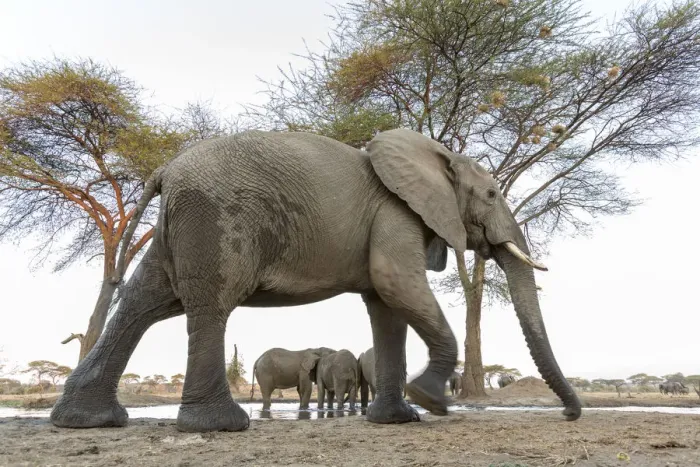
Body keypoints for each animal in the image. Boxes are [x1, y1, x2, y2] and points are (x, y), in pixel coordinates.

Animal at [50, 128, 581, 433]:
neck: (435, 154)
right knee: (209, 303)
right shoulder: (396, 213)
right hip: (215, 216)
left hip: (178, 226)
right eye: (491, 194)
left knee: (144, 303)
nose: (569, 414)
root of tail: (165, 170)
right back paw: (221, 425)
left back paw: (87, 422)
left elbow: (387, 305)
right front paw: (430, 399)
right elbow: (396, 284)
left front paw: (398, 420)